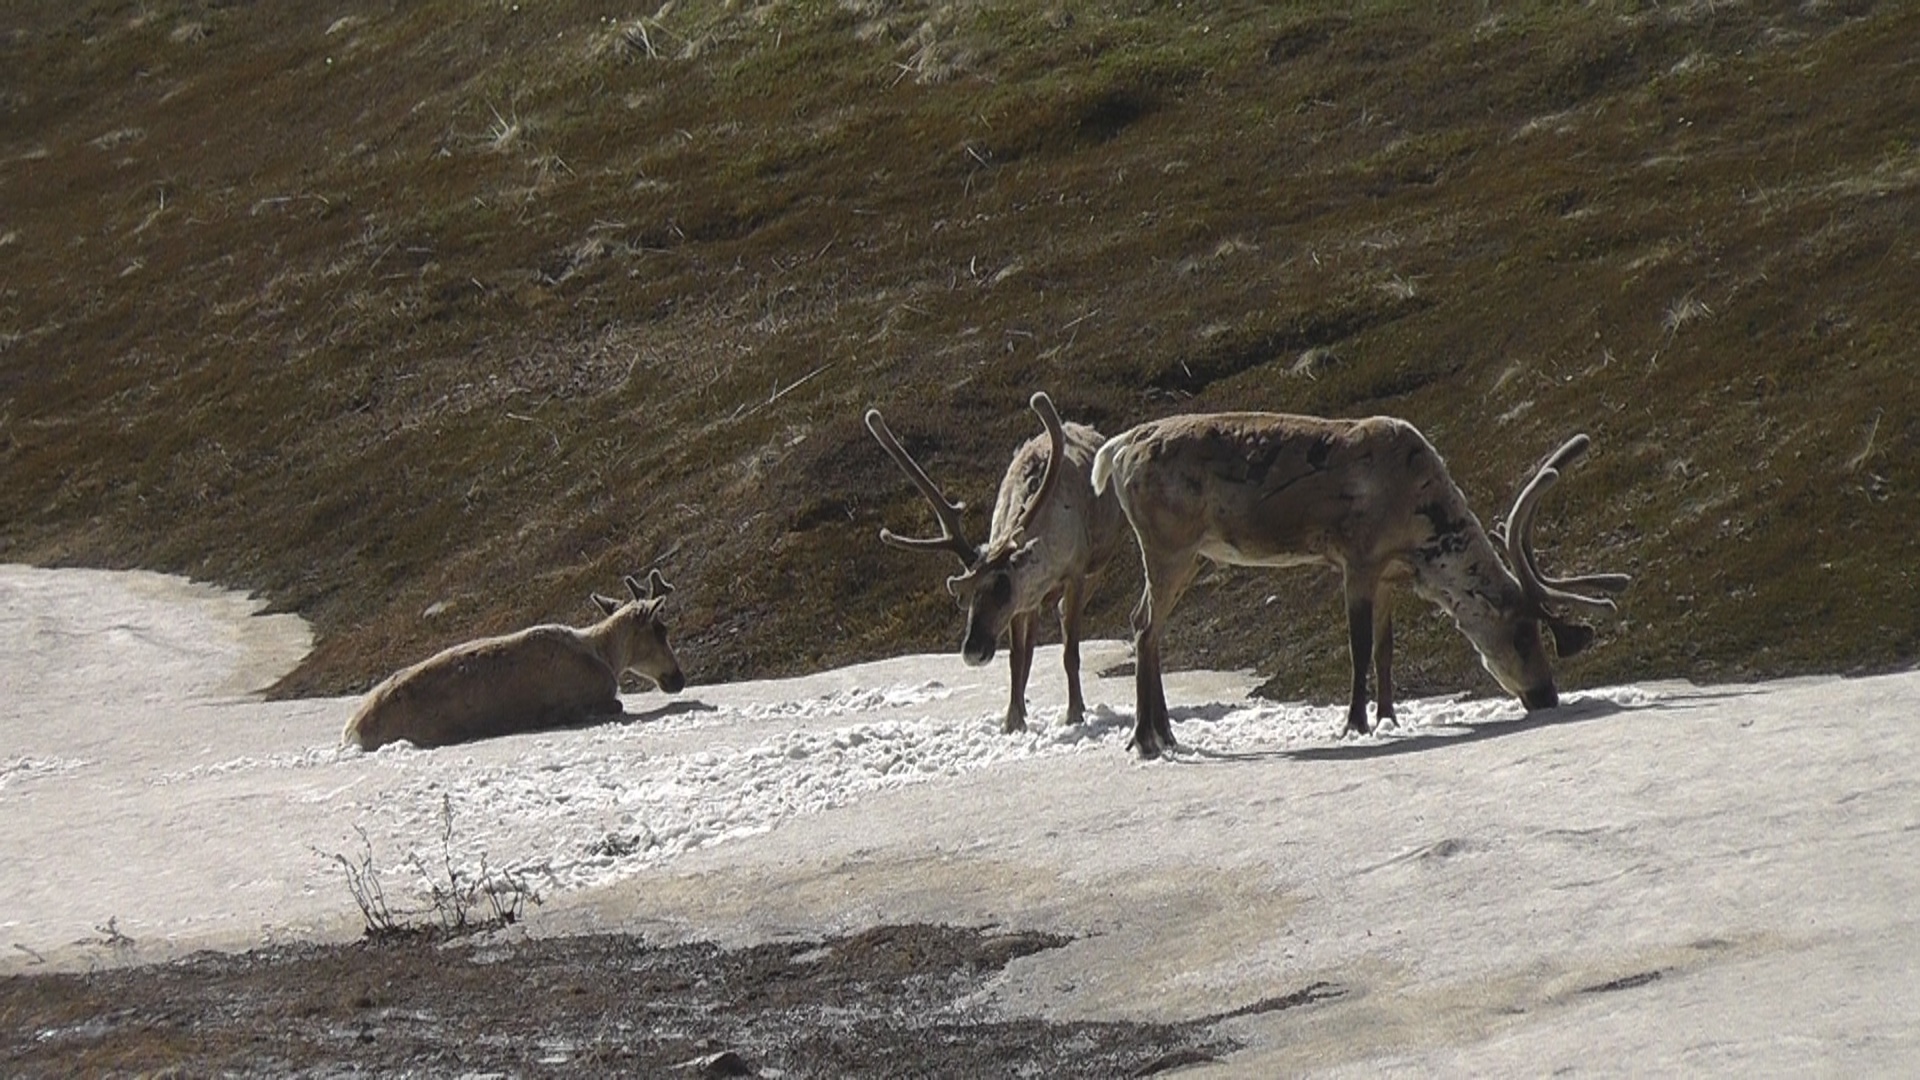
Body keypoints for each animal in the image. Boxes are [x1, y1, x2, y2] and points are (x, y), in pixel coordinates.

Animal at [342, 570, 687, 751]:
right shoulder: (585, 699)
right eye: (662, 630)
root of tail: (351, 731)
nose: (678, 679)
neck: (605, 655)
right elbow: (617, 704)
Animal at [866, 391, 1128, 733]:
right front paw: (1012, 720)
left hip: (1100, 562)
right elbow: (1017, 658)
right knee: (1029, 646)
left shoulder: (1073, 572)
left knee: (1061, 621)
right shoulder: (1024, 600)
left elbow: (1070, 652)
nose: (972, 650)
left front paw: (1073, 714)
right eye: (963, 596)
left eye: (1003, 586)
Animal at [1090, 413, 1629, 757]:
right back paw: (1145, 739)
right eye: (1520, 635)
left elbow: (1386, 649)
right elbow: (1360, 644)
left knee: (1147, 626)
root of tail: (1114, 451)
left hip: (1190, 554)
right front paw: (1355, 723)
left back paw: (1166, 734)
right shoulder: (1359, 558)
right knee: (1144, 626)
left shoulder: (1388, 575)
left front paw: (1390, 718)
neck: (1419, 532)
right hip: (1168, 546)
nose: (1547, 695)